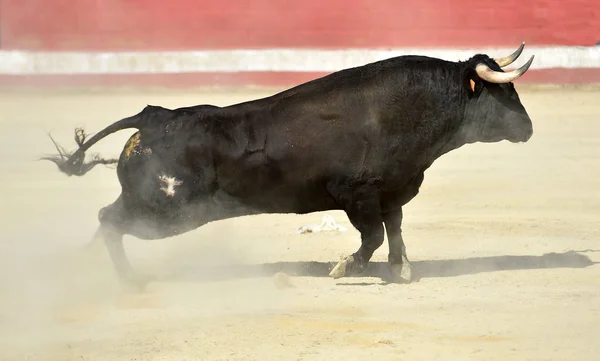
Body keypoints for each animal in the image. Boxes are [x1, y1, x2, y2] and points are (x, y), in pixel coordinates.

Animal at [44, 43, 536, 290]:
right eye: (503, 92)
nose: (529, 128)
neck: (405, 111)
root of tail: (154, 117)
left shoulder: (392, 191)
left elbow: (394, 231)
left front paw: (401, 270)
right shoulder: (356, 195)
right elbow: (373, 237)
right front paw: (345, 269)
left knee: (107, 220)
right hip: (165, 210)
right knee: (110, 220)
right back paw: (128, 281)